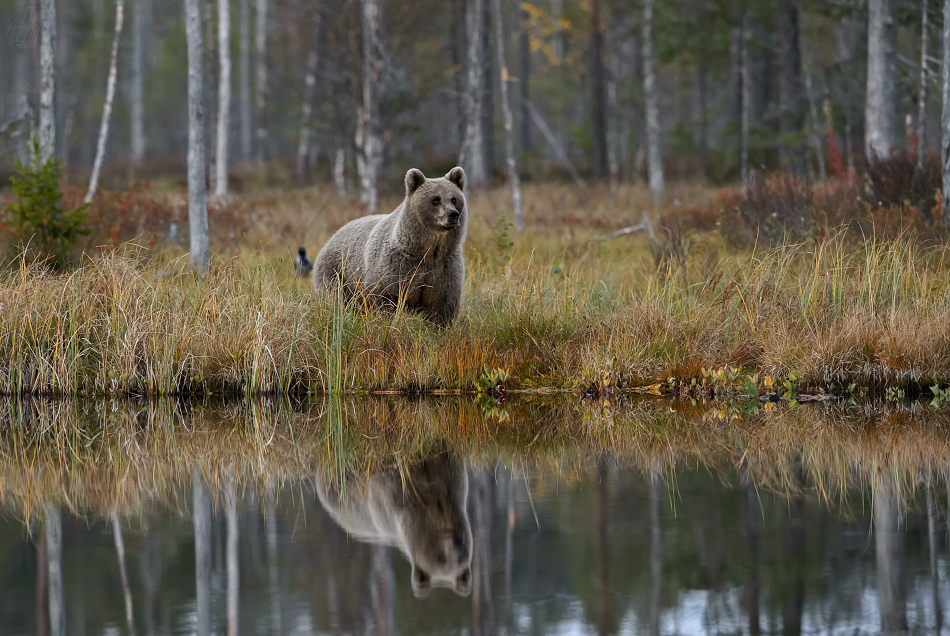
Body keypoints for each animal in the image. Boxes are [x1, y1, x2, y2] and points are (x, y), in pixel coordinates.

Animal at [314, 166, 466, 326]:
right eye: (435, 200)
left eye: (454, 199)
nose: (453, 214)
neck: (426, 251)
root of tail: (332, 237)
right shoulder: (396, 268)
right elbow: (384, 297)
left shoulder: (443, 269)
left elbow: (442, 307)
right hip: (336, 272)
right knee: (333, 299)